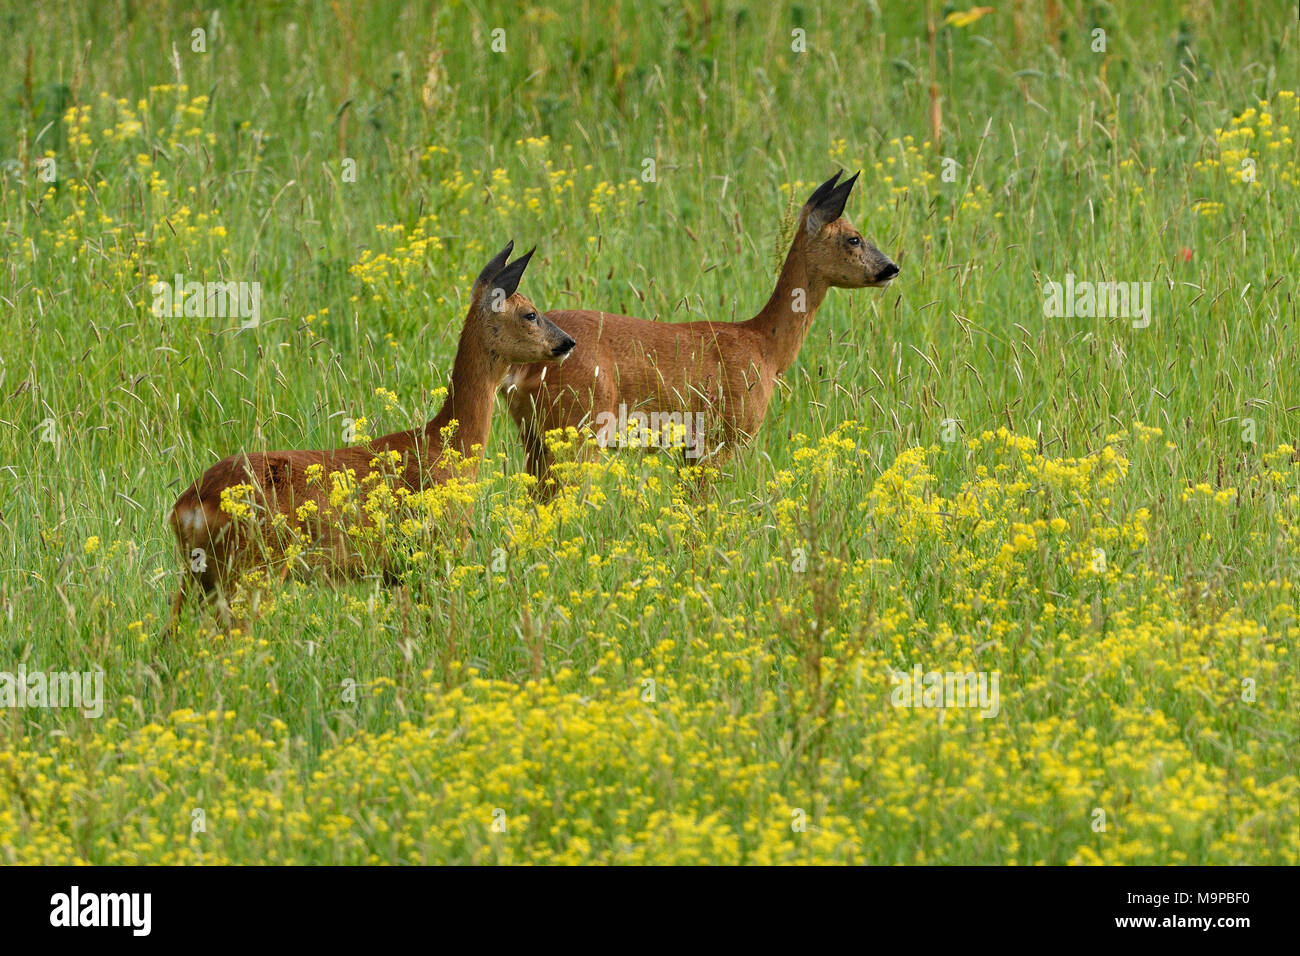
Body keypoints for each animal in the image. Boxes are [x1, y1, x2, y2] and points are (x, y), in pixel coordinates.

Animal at [167, 239, 574, 632]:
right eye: (531, 313)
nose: (567, 342)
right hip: (255, 566)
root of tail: (187, 505)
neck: (445, 447)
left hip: (200, 575)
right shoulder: (433, 549)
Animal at [501, 169, 899, 489]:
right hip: (577, 426)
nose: (891, 268)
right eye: (854, 238)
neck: (765, 349)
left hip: (535, 434)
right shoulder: (718, 437)